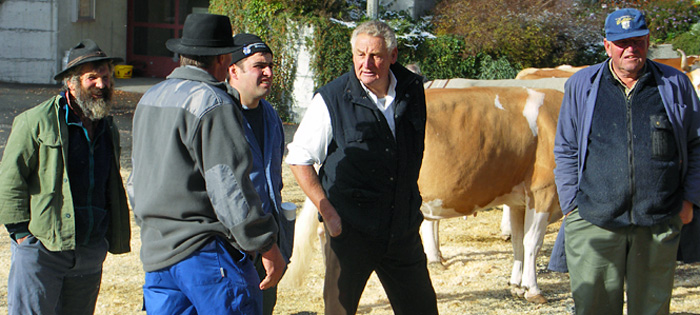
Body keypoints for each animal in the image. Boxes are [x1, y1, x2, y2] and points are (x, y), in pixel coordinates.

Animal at [418, 86, 568, 304]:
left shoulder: (519, 201)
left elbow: (518, 242)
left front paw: (517, 286)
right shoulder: (543, 190)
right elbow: (533, 242)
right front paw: (533, 289)